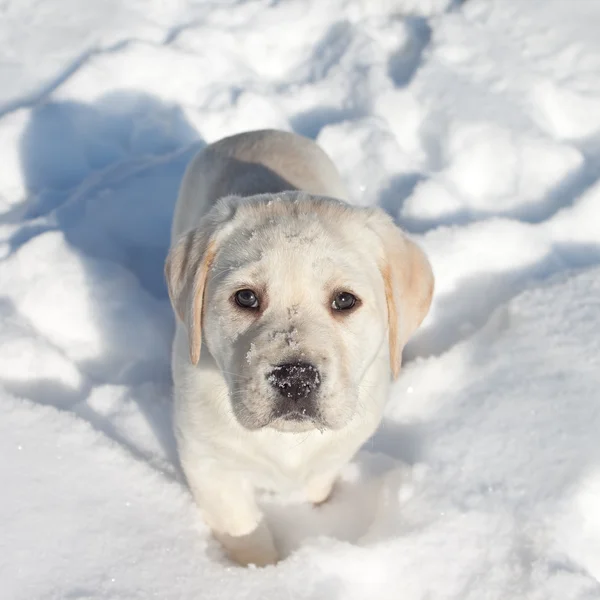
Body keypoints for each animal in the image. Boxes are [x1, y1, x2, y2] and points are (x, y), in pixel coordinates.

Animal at [166, 129, 434, 564]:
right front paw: (263, 571)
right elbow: (244, 531)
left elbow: (317, 485)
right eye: (246, 298)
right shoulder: (208, 464)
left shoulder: (334, 454)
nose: (294, 378)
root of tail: (256, 132)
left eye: (345, 300)